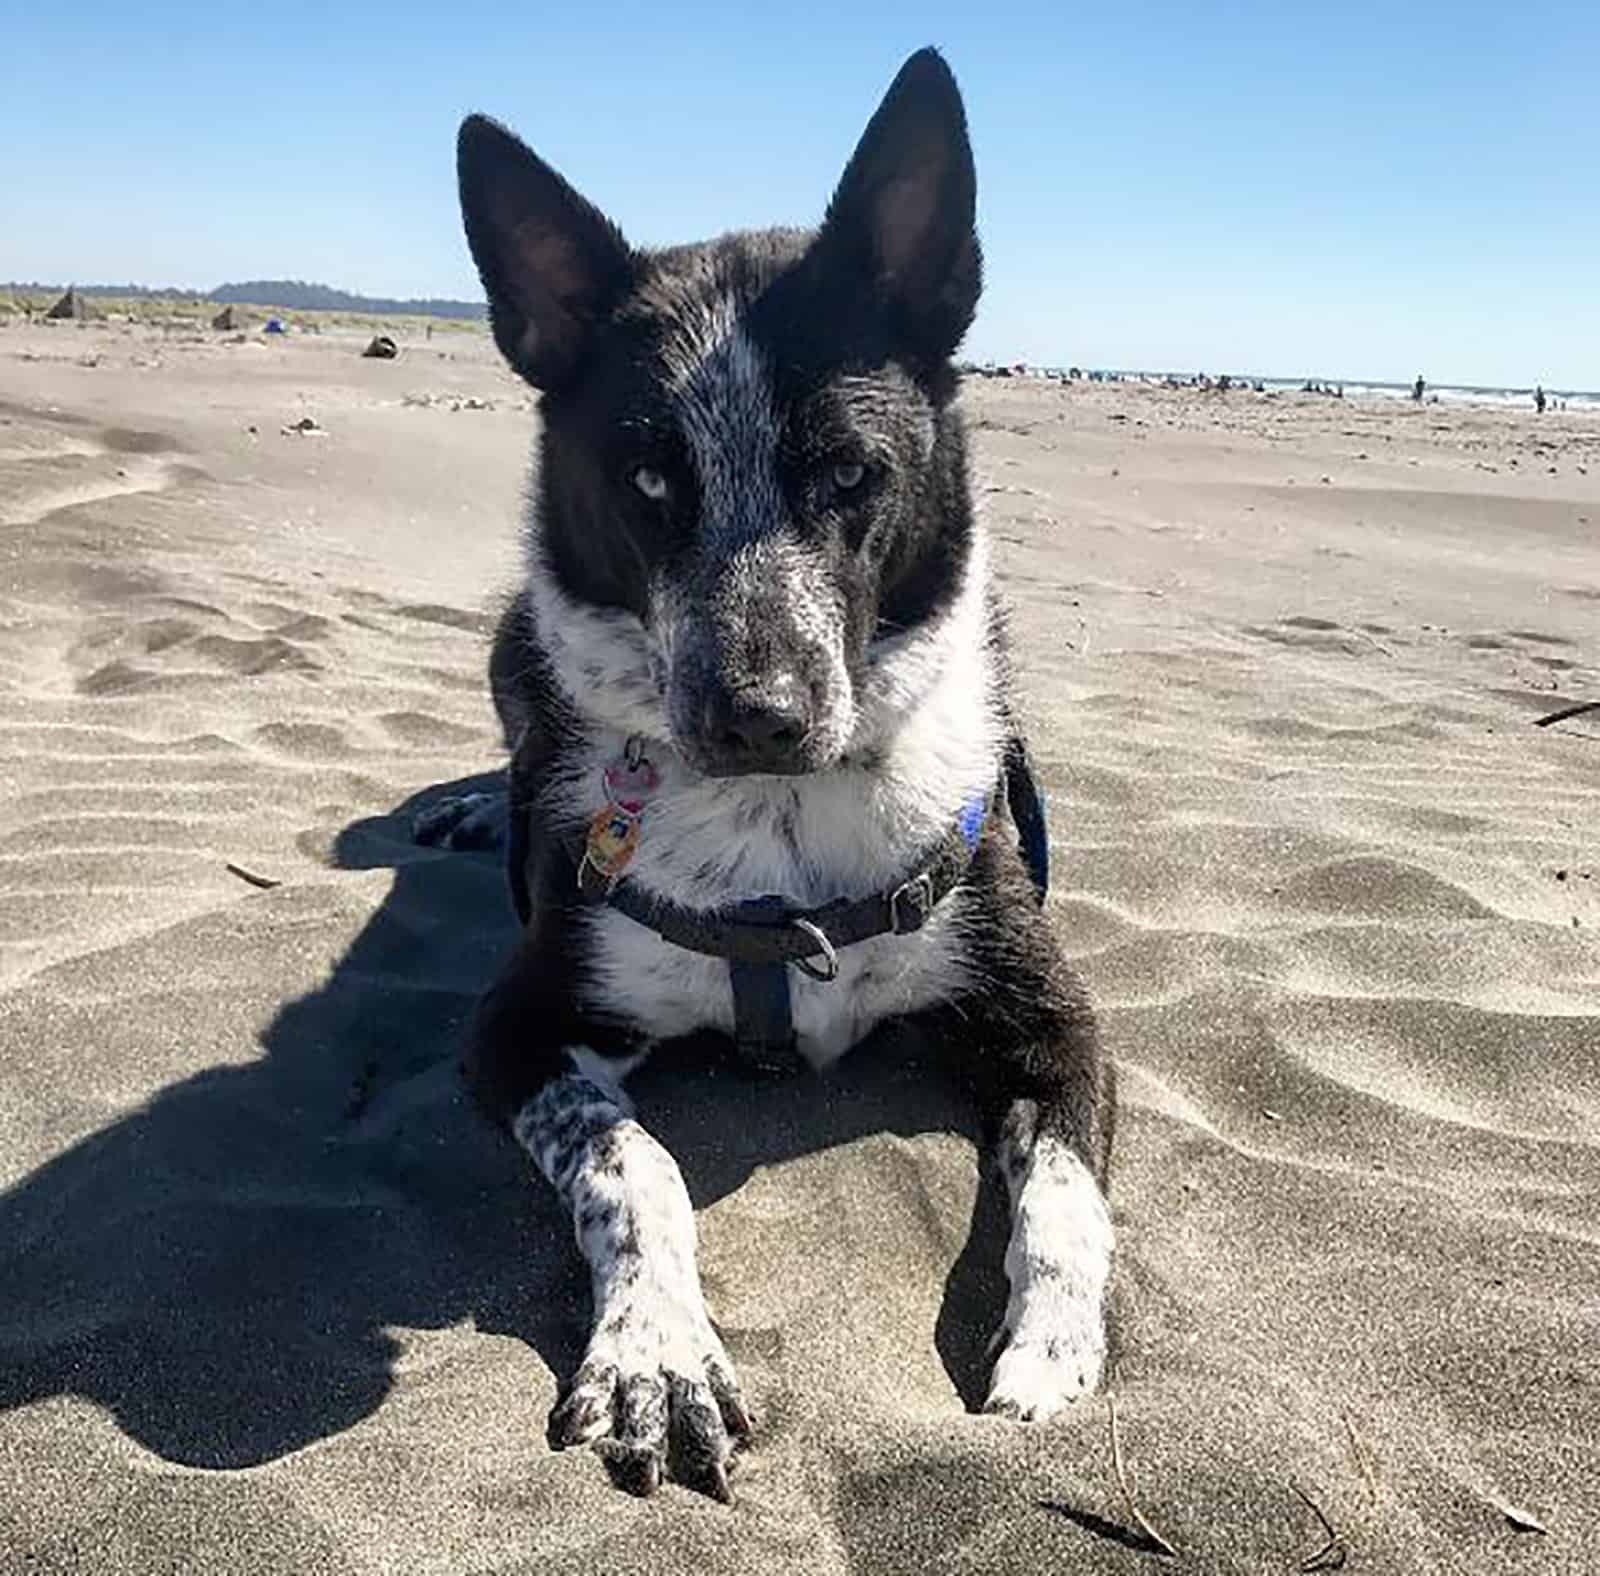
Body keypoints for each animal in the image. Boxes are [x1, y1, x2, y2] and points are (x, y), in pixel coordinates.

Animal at [428, 46, 1126, 1497]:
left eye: (850, 472)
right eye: (645, 478)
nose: (755, 715)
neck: (780, 824)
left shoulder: (1052, 1019)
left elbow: (1064, 1195)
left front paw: (1048, 1356)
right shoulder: (517, 1026)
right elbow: (633, 1165)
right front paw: (656, 1353)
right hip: (506, 637)